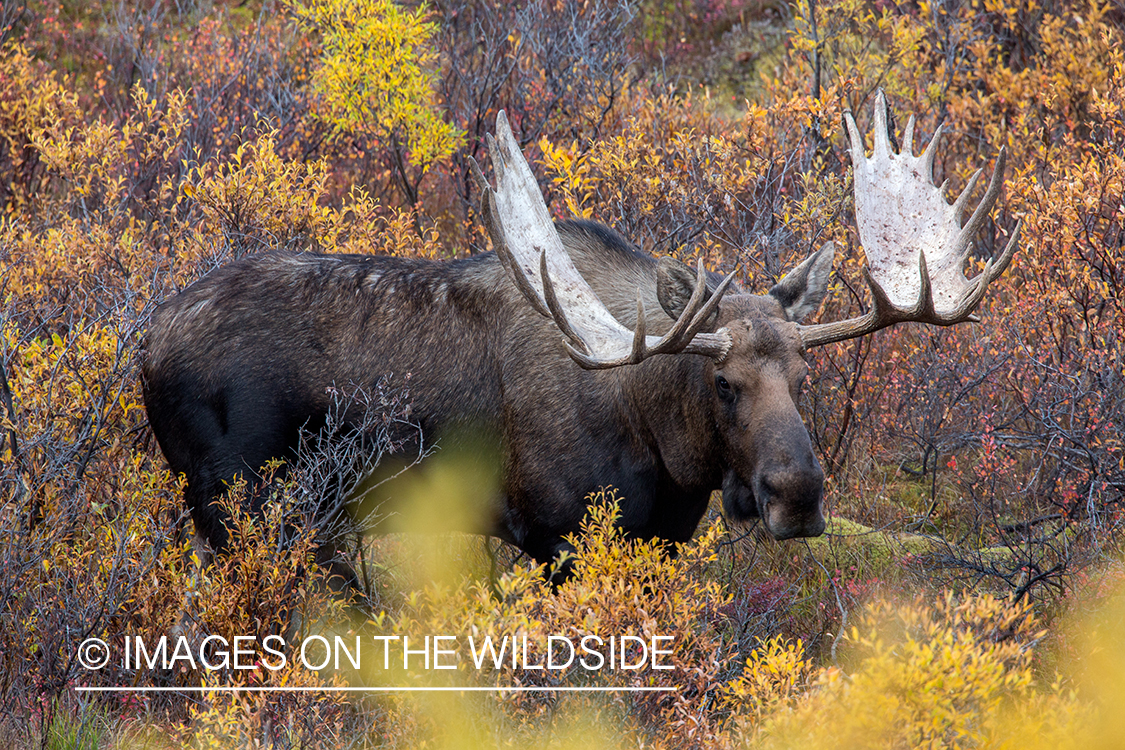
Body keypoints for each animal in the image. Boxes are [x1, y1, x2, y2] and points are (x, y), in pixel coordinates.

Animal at [140, 96, 1021, 580]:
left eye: (807, 377)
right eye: (723, 383)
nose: (797, 495)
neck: (666, 451)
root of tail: (144, 345)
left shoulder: (659, 540)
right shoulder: (554, 535)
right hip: (240, 506)